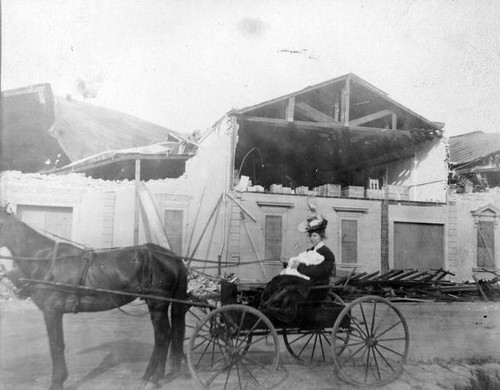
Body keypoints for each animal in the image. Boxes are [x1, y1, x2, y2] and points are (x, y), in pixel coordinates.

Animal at [0, 206, 188, 388]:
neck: (46, 260)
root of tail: (173, 257)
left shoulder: (51, 311)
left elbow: (56, 346)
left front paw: (57, 382)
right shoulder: (54, 312)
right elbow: (58, 345)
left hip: (158, 304)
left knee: (163, 336)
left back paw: (155, 378)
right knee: (162, 337)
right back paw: (147, 376)